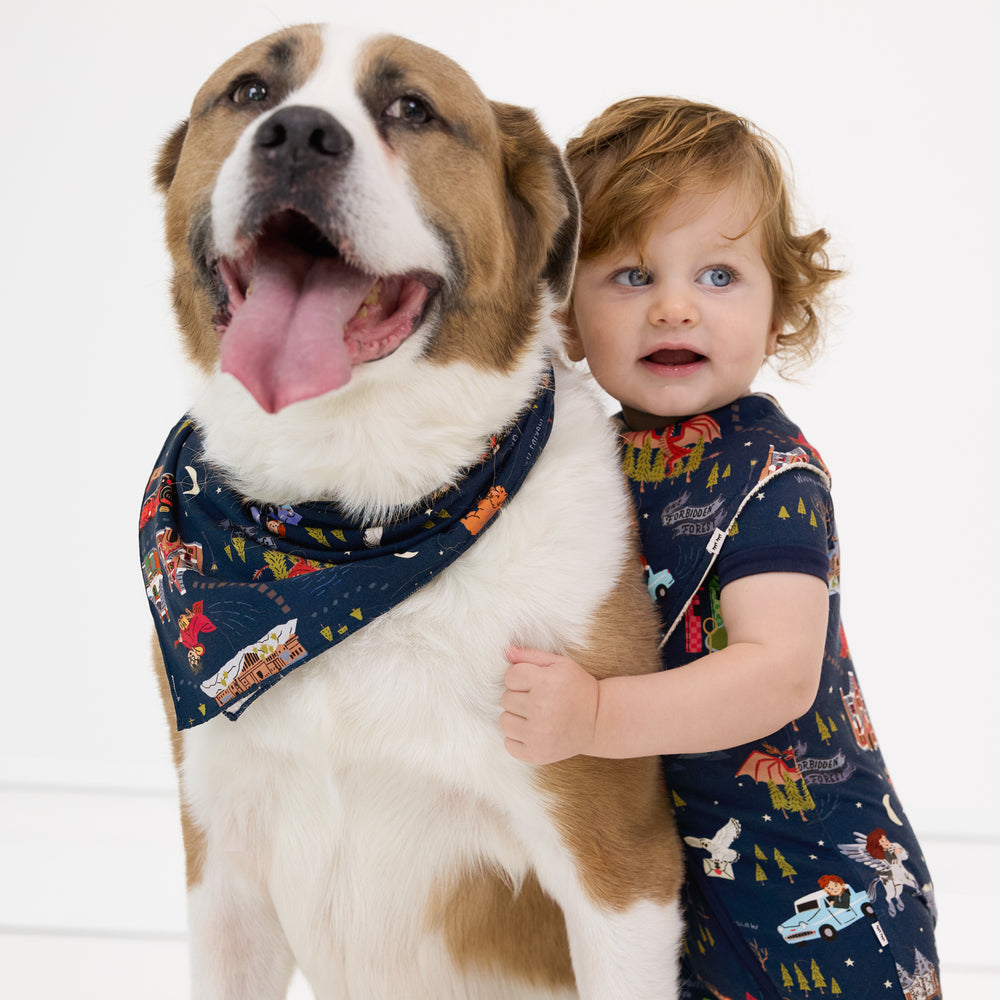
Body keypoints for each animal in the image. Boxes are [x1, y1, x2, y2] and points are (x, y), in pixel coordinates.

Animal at [152, 23, 684, 1000]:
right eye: (249, 93)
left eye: (411, 109)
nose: (298, 135)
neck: (353, 532)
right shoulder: (222, 868)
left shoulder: (618, 872)